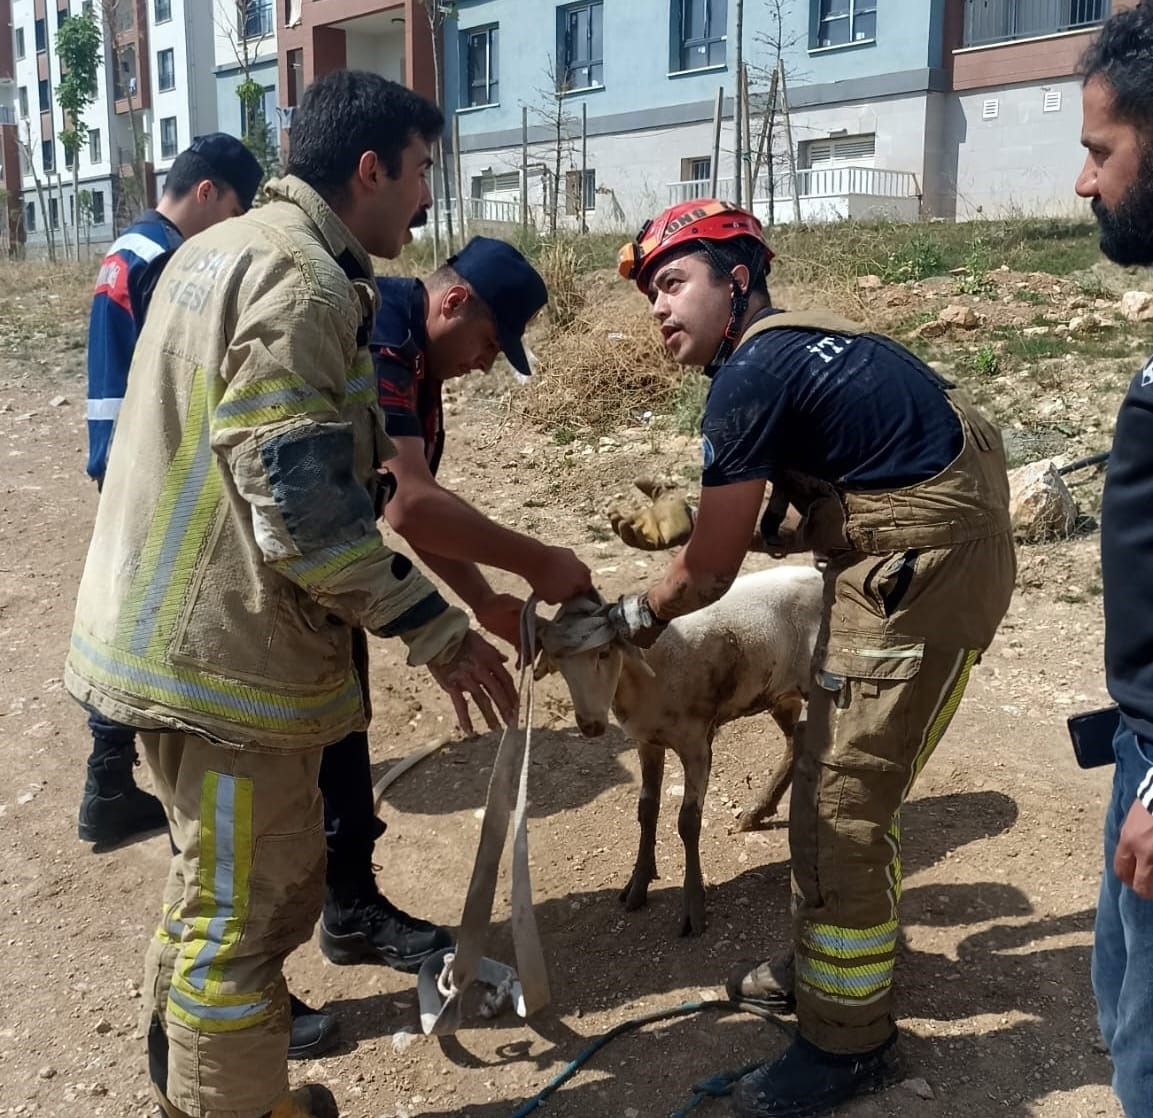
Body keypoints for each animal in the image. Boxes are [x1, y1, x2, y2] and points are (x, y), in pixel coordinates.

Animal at [534, 562, 825, 935]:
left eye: (604, 652)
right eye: (560, 667)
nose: (590, 726)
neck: (645, 679)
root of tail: (814, 571)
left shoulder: (697, 744)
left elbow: (688, 822)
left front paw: (694, 907)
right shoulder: (647, 742)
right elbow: (646, 810)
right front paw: (637, 885)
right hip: (778, 692)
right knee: (796, 739)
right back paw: (757, 811)